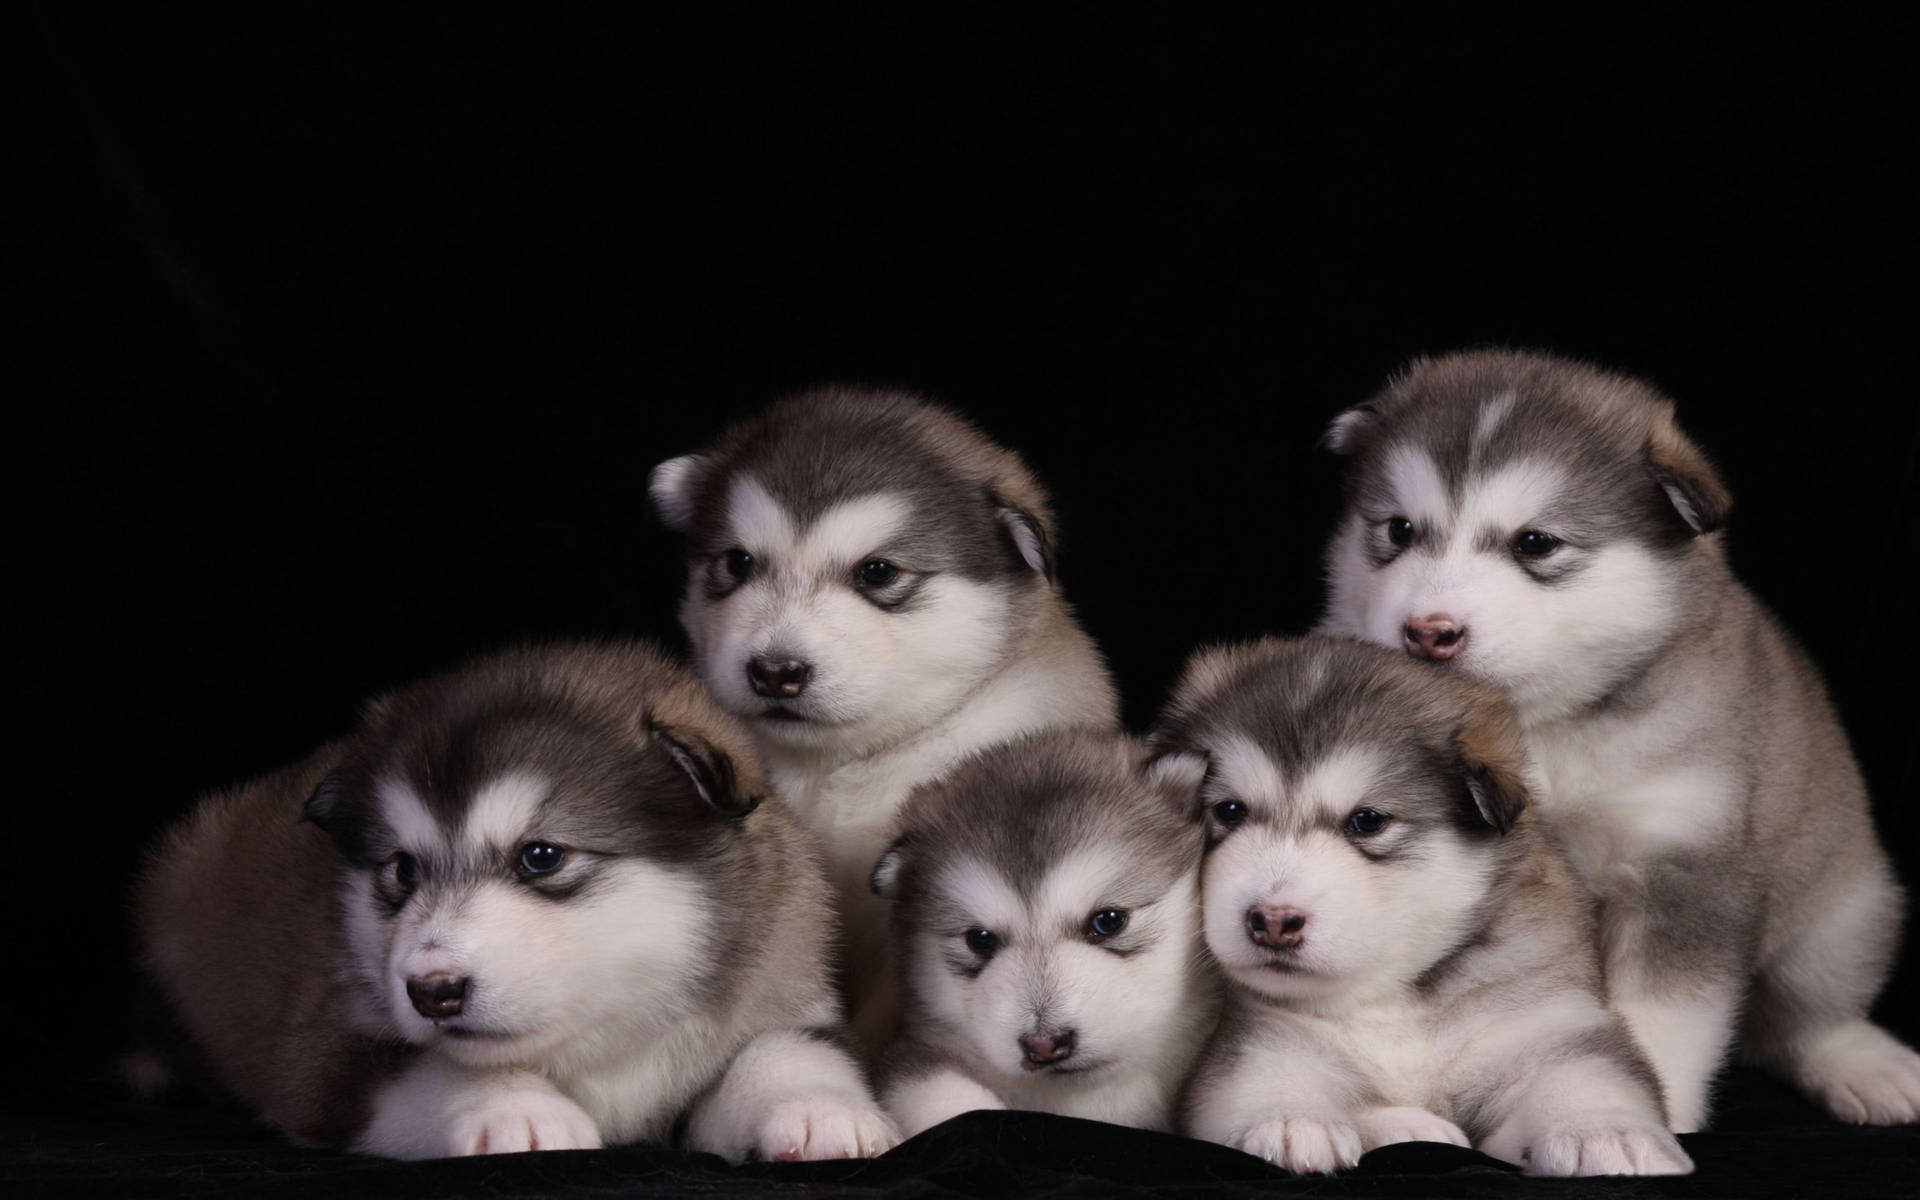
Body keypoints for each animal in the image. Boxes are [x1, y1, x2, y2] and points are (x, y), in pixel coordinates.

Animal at [135, 641, 898, 1159]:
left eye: (541, 857)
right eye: (401, 870)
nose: (432, 991)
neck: (606, 1031)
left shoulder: (780, 978)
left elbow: (789, 1043)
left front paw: (816, 1108)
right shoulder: (323, 1052)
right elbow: (428, 1062)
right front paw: (518, 1112)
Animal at [1144, 633, 1689, 1175]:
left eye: (1367, 821)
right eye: (1229, 810)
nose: (1272, 921)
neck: (1392, 994)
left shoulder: (1546, 1020)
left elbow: (1589, 1072)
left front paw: (1608, 1131)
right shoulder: (1261, 1034)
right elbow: (1263, 1074)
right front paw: (1290, 1118)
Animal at [1320, 349, 1920, 1128]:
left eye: (1536, 542)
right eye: (1398, 530)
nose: (1429, 630)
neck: (1537, 729)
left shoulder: (1683, 870)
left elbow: (1665, 1017)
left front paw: (1649, 1111)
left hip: (1838, 915)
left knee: (1803, 1018)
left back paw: (1860, 1064)